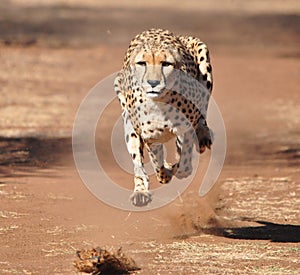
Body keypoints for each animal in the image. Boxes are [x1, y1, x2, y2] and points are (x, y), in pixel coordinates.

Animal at [114, 29, 213, 207]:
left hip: (203, 58)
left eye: (166, 64)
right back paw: (141, 191)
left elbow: (184, 165)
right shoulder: (150, 137)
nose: (153, 82)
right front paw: (165, 174)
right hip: (129, 125)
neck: (160, 102)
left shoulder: (186, 128)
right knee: (138, 162)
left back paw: (203, 136)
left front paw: (176, 169)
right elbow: (157, 163)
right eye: (142, 63)